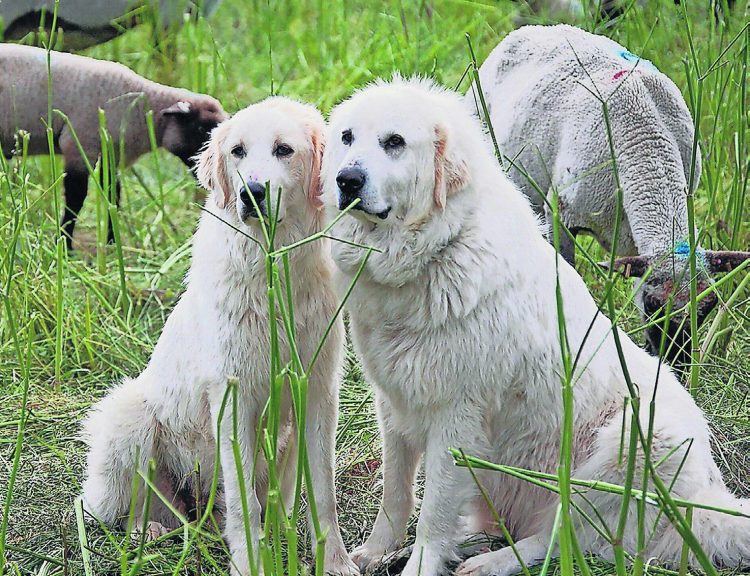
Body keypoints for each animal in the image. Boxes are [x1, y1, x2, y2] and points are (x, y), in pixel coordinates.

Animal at [0, 44, 229, 249]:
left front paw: (111, 242)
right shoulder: (79, 147)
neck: (143, 108)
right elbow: (76, 200)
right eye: (201, 129)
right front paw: (65, 244)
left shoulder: (110, 154)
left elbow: (113, 195)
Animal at [81, 98, 362, 576]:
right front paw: (251, 564)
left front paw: (336, 564)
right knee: (125, 507)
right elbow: (245, 505)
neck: (275, 269)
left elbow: (322, 496)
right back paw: (146, 529)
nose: (252, 193)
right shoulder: (235, 401)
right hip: (129, 415)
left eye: (284, 149)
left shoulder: (318, 393)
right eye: (237, 152)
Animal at [326, 75, 750, 576]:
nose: (346, 179)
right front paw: (377, 551)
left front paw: (420, 564)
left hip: (634, 437)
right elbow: (396, 494)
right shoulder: (393, 404)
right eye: (347, 138)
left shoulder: (457, 417)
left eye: (394, 142)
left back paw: (490, 563)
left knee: (565, 536)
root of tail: (704, 499)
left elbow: (433, 514)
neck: (437, 249)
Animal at [468, 23, 748, 368]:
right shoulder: (561, 212)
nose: (675, 368)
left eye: (707, 309)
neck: (645, 143)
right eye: (655, 305)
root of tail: (533, 28)